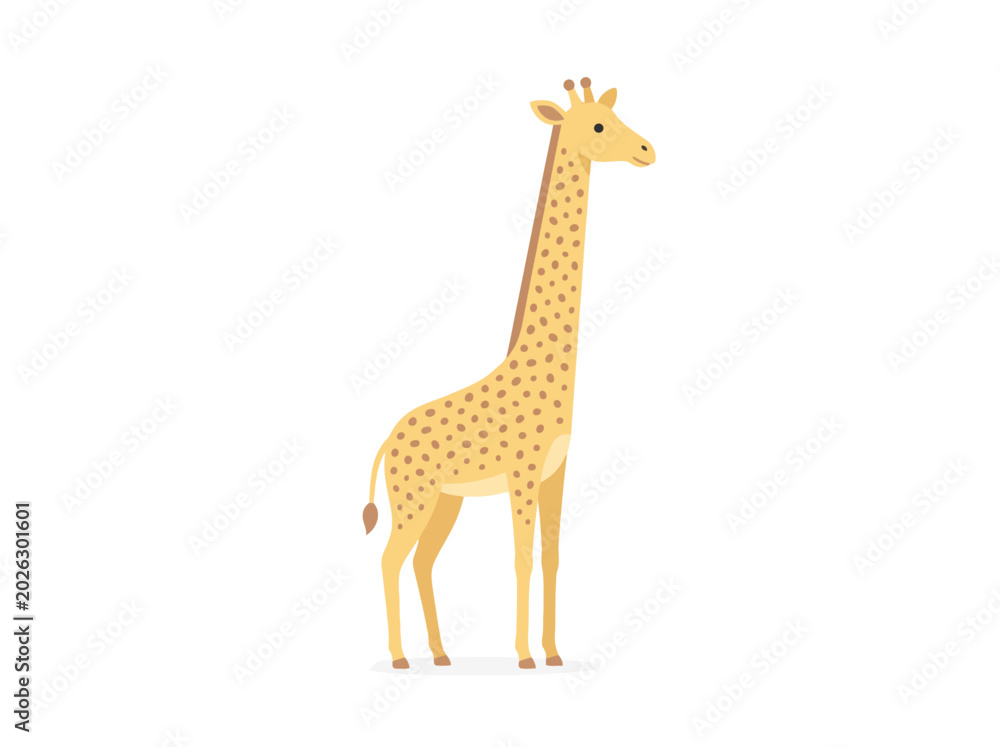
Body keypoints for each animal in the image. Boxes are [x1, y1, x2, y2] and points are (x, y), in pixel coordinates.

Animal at [365, 77, 655, 669]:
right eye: (598, 125)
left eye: (616, 117)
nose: (647, 150)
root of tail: (387, 440)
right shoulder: (522, 472)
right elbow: (521, 555)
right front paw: (523, 655)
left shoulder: (556, 473)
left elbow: (552, 555)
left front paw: (554, 651)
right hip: (413, 497)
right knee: (389, 559)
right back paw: (402, 657)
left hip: (445, 501)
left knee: (422, 561)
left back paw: (441, 654)